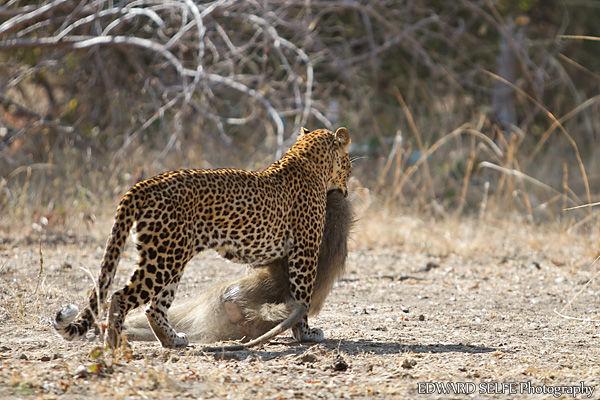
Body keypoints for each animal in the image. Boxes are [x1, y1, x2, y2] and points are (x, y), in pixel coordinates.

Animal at [54, 126, 352, 348]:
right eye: (349, 163)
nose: (348, 186)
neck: (307, 160)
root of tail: (143, 185)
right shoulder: (305, 250)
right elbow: (302, 295)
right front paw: (305, 334)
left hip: (170, 257)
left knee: (154, 307)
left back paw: (173, 341)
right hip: (163, 260)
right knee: (119, 296)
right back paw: (115, 345)